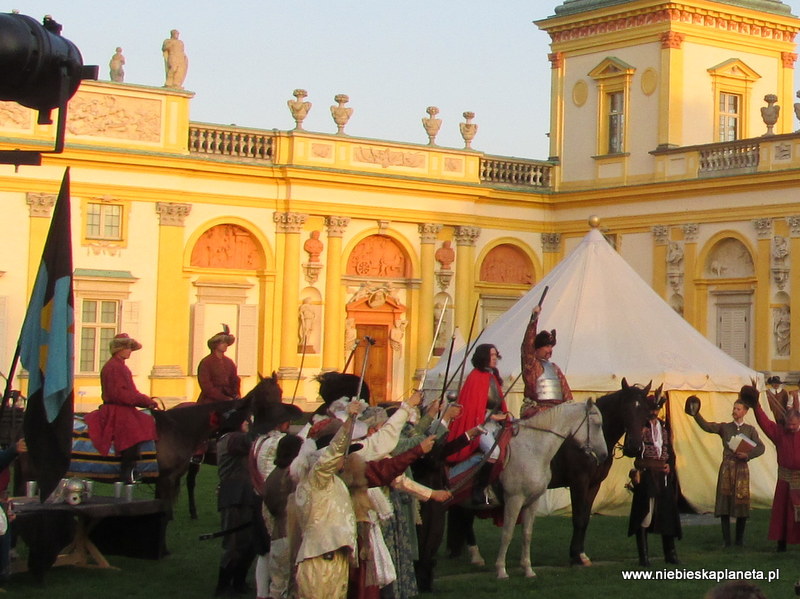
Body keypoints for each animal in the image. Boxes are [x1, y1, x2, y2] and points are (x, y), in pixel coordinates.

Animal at [494, 400, 608, 580]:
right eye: (597, 424)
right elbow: (507, 533)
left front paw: (528, 569)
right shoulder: (514, 498)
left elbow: (527, 533)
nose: (604, 455)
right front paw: (501, 570)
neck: (533, 448)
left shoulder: (533, 500)